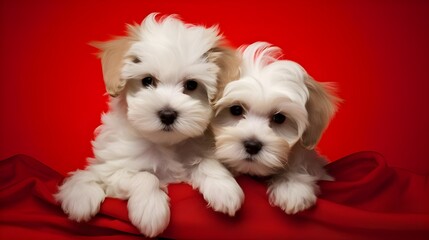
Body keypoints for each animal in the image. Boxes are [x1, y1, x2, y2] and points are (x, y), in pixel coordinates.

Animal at [56, 14, 244, 237]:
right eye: (147, 81)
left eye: (191, 85)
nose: (168, 114)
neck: (165, 144)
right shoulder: (115, 172)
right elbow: (145, 176)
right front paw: (151, 210)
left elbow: (206, 162)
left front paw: (224, 188)